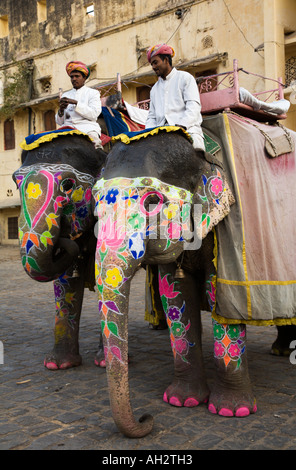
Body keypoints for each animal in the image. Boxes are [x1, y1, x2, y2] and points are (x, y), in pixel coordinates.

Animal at [13, 129, 107, 370]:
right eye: (16, 183)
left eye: (68, 185)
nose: (64, 238)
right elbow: (65, 280)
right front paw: (58, 365)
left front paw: (103, 363)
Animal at [92, 114, 296, 440]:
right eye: (96, 204)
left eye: (152, 201)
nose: (147, 418)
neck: (203, 157)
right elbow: (175, 294)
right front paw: (181, 401)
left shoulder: (226, 232)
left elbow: (220, 297)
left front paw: (231, 411)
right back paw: (280, 350)